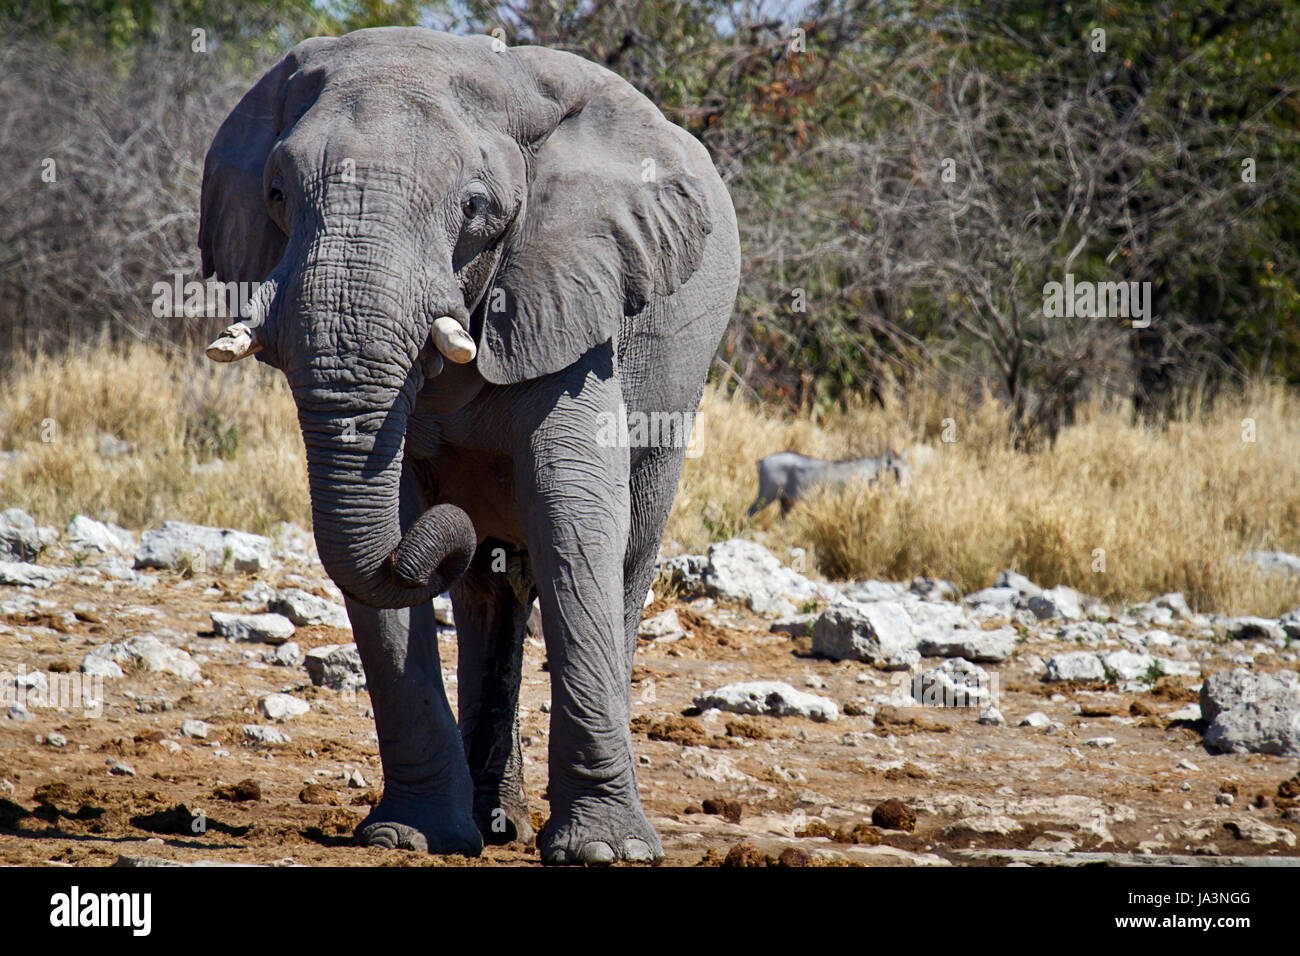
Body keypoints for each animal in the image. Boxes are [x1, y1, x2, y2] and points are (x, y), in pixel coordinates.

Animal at [196, 27, 738, 868]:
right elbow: (387, 523)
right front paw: (409, 835)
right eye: (278, 195)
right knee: (488, 593)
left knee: (624, 557)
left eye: (475, 208)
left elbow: (574, 513)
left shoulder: (575, 293)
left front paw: (605, 851)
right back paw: (494, 822)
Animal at [748, 447, 909, 515]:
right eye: (896, 470)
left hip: (785, 501)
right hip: (766, 495)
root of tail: (762, 461)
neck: (873, 472)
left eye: (910, 469)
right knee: (749, 512)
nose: (905, 489)